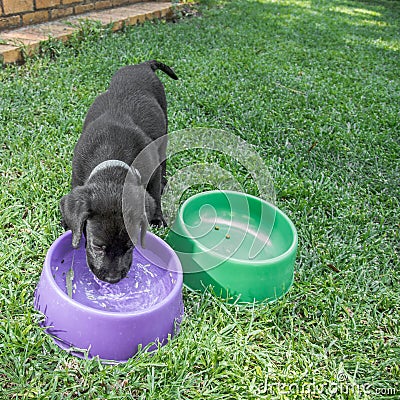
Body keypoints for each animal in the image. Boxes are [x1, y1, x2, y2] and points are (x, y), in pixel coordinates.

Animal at [59, 60, 178, 284]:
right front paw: (68, 223)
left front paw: (157, 219)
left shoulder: (152, 174)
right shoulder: (77, 177)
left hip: (164, 128)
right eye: (97, 246)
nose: (113, 279)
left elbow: (156, 195)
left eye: (130, 246)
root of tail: (142, 65)